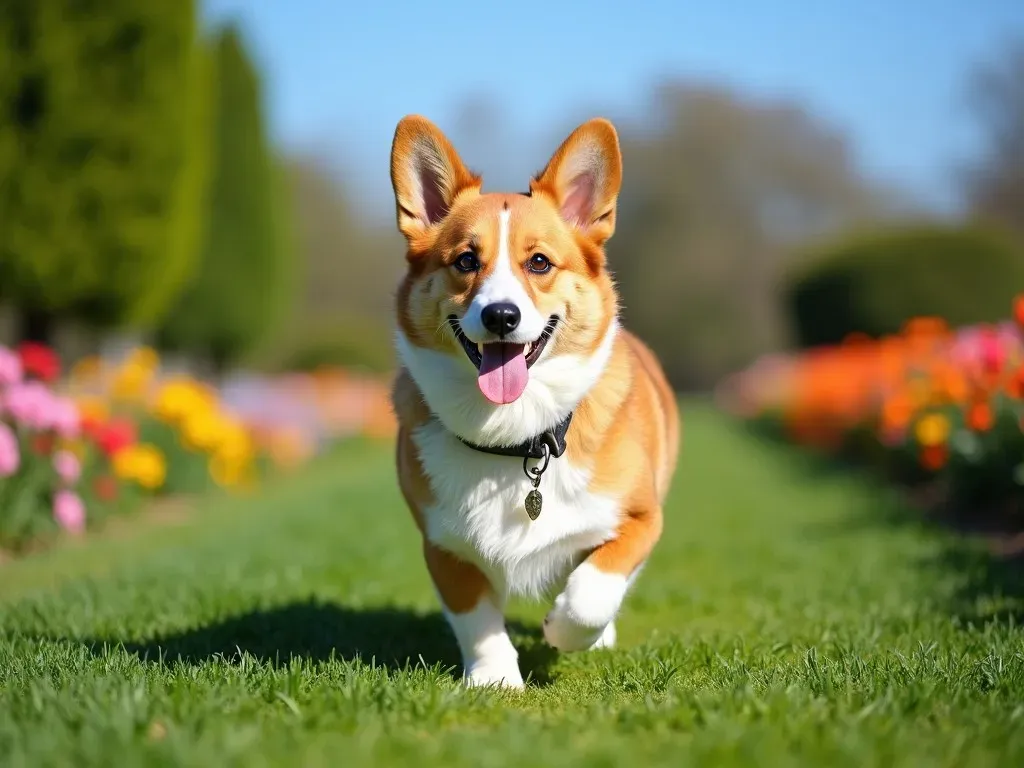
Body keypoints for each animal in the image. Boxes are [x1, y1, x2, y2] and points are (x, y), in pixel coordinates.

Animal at [389, 115, 679, 692]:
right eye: (466, 261)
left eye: (540, 262)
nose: (501, 316)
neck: (515, 434)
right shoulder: (444, 545)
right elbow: (477, 620)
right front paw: (494, 680)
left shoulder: (642, 517)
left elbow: (592, 592)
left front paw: (564, 632)